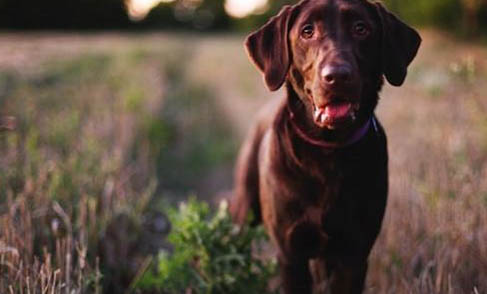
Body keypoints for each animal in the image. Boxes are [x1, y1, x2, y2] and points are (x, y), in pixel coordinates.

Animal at [231, 0, 422, 292]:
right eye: (307, 31)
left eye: (361, 28)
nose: (338, 76)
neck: (328, 151)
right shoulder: (291, 255)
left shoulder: (354, 255)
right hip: (245, 209)